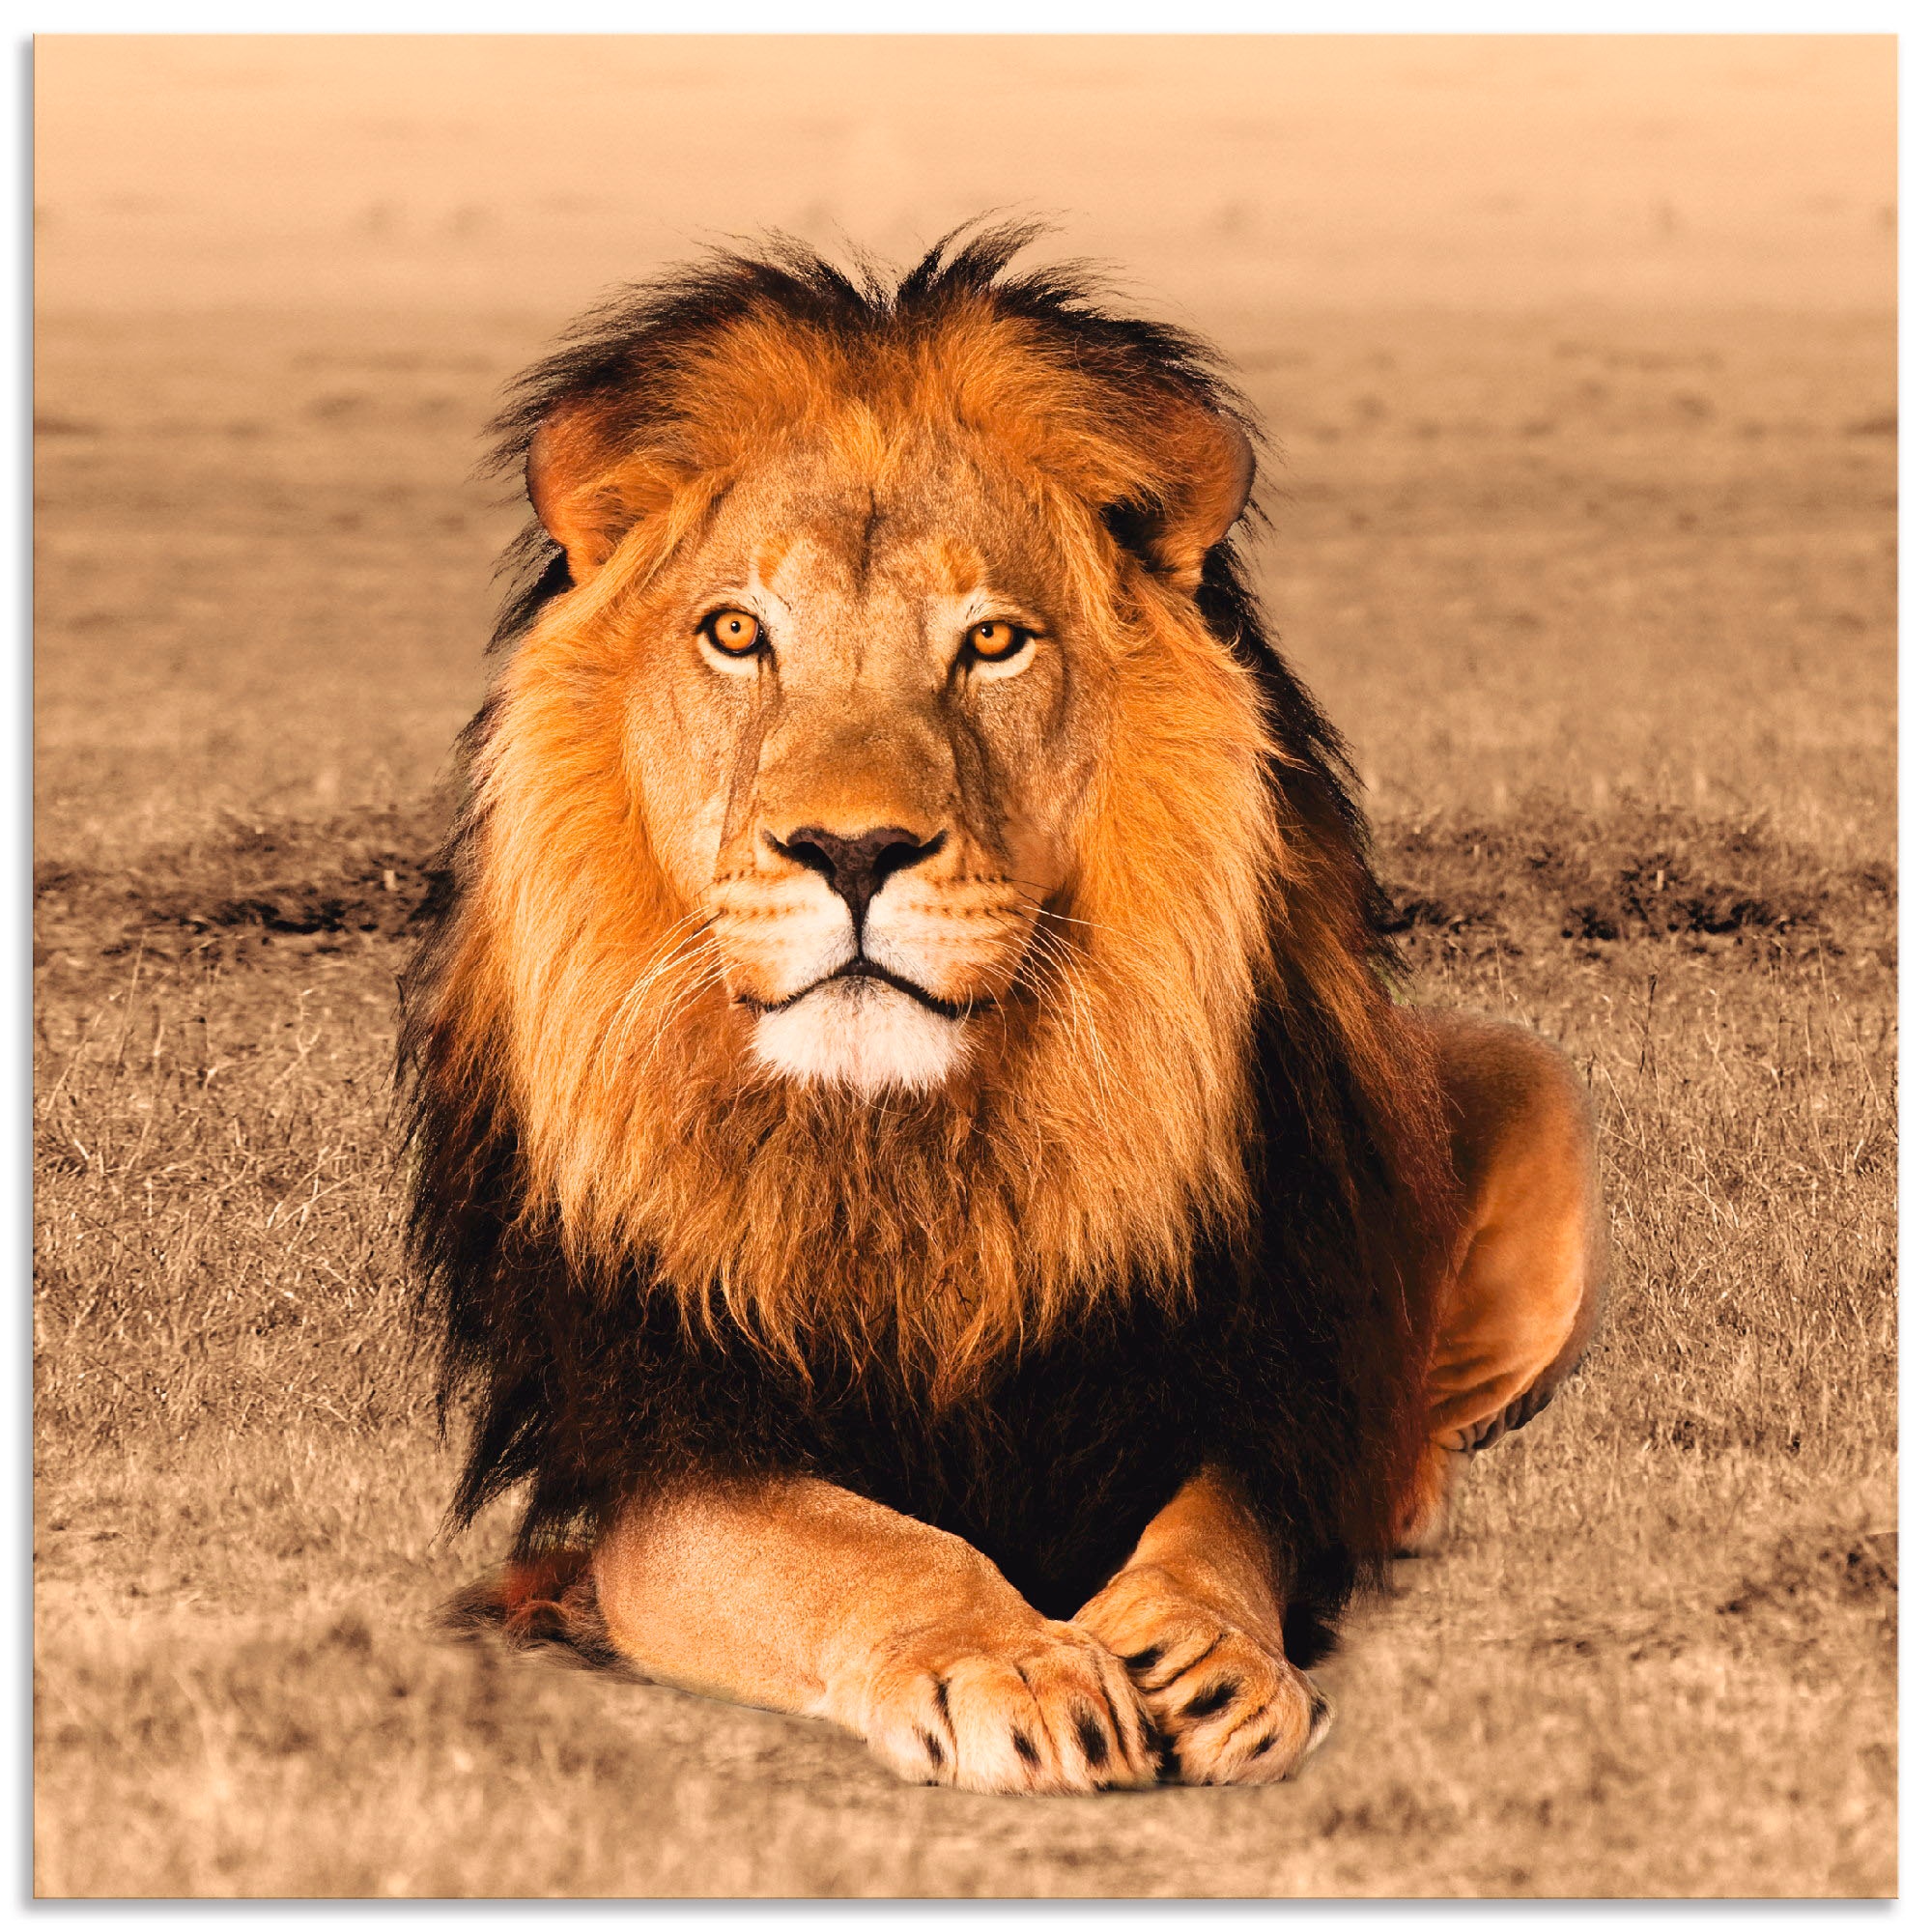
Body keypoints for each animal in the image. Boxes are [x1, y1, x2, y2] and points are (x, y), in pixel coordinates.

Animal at [402, 224, 1603, 1796]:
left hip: (1530, 1086)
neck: (906, 1151)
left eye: (991, 643)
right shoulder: (663, 1442)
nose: (853, 850)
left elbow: (1224, 1523)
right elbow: (857, 1545)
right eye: (735, 632)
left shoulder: (1230, 1373)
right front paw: (1015, 1662)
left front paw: (1203, 1651)